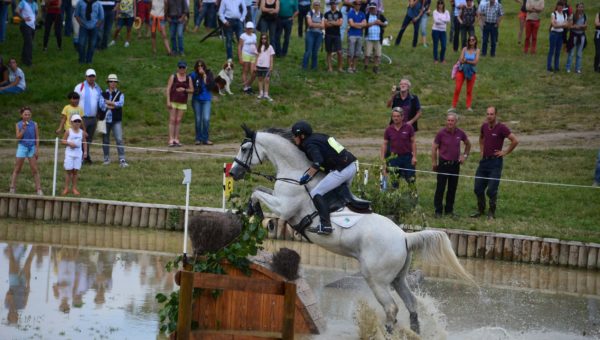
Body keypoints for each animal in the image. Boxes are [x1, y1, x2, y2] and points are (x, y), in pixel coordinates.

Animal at [230, 126, 474, 334]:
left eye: (245, 149)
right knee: (410, 303)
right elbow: (258, 188)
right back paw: (413, 331)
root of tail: (404, 236)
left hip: (376, 278)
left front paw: (255, 212)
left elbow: (256, 192)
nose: (233, 173)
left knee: (392, 308)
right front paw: (251, 211)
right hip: (397, 278)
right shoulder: (279, 199)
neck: (295, 171)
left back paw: (386, 332)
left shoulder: (284, 207)